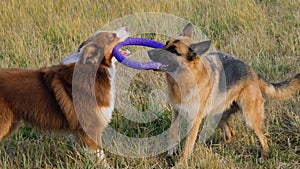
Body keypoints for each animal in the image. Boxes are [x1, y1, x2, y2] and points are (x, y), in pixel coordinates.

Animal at [148, 23, 300, 166]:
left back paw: (263, 157)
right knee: (230, 134)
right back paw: (214, 148)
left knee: (264, 138)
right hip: (218, 116)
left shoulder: (194, 121)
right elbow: (173, 132)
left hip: (250, 119)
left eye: (174, 51)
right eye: (166, 43)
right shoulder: (176, 112)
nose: (149, 52)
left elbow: (187, 147)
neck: (183, 80)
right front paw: (171, 152)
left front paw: (181, 163)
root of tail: (253, 72)